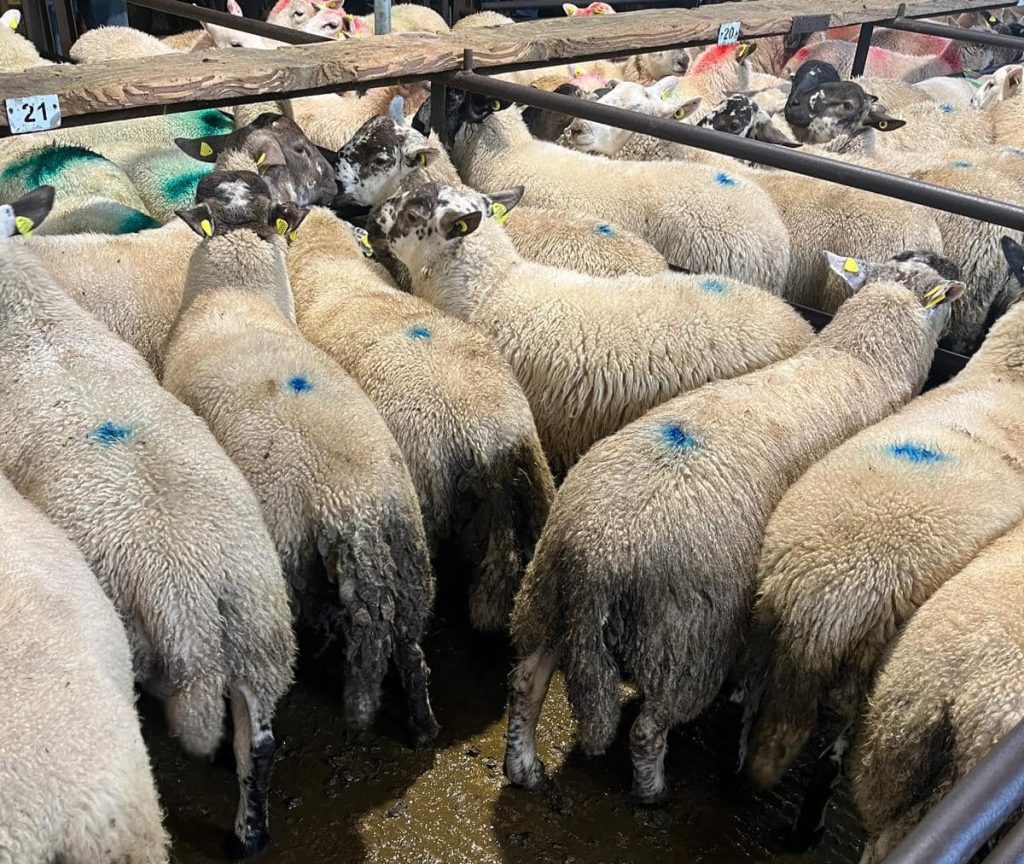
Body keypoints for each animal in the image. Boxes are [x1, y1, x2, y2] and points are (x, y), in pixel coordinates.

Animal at [163, 170, 437, 743]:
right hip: (410, 556)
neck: (236, 295)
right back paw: (422, 726)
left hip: (297, 562)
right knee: (411, 647)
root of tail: (354, 508)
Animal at [504, 251, 963, 804]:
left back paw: (524, 767)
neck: (861, 360)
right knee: (647, 728)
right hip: (685, 641)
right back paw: (653, 791)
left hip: (548, 594)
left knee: (526, 680)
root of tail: (597, 551)